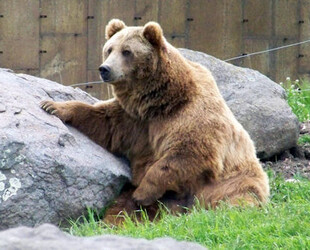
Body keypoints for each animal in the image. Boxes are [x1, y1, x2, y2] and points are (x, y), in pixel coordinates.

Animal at [40, 18, 268, 223]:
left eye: (127, 51)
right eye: (109, 49)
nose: (104, 69)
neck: (161, 101)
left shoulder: (190, 115)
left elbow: (187, 153)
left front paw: (143, 192)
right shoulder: (134, 120)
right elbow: (103, 122)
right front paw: (53, 106)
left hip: (234, 181)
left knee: (236, 198)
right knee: (120, 208)